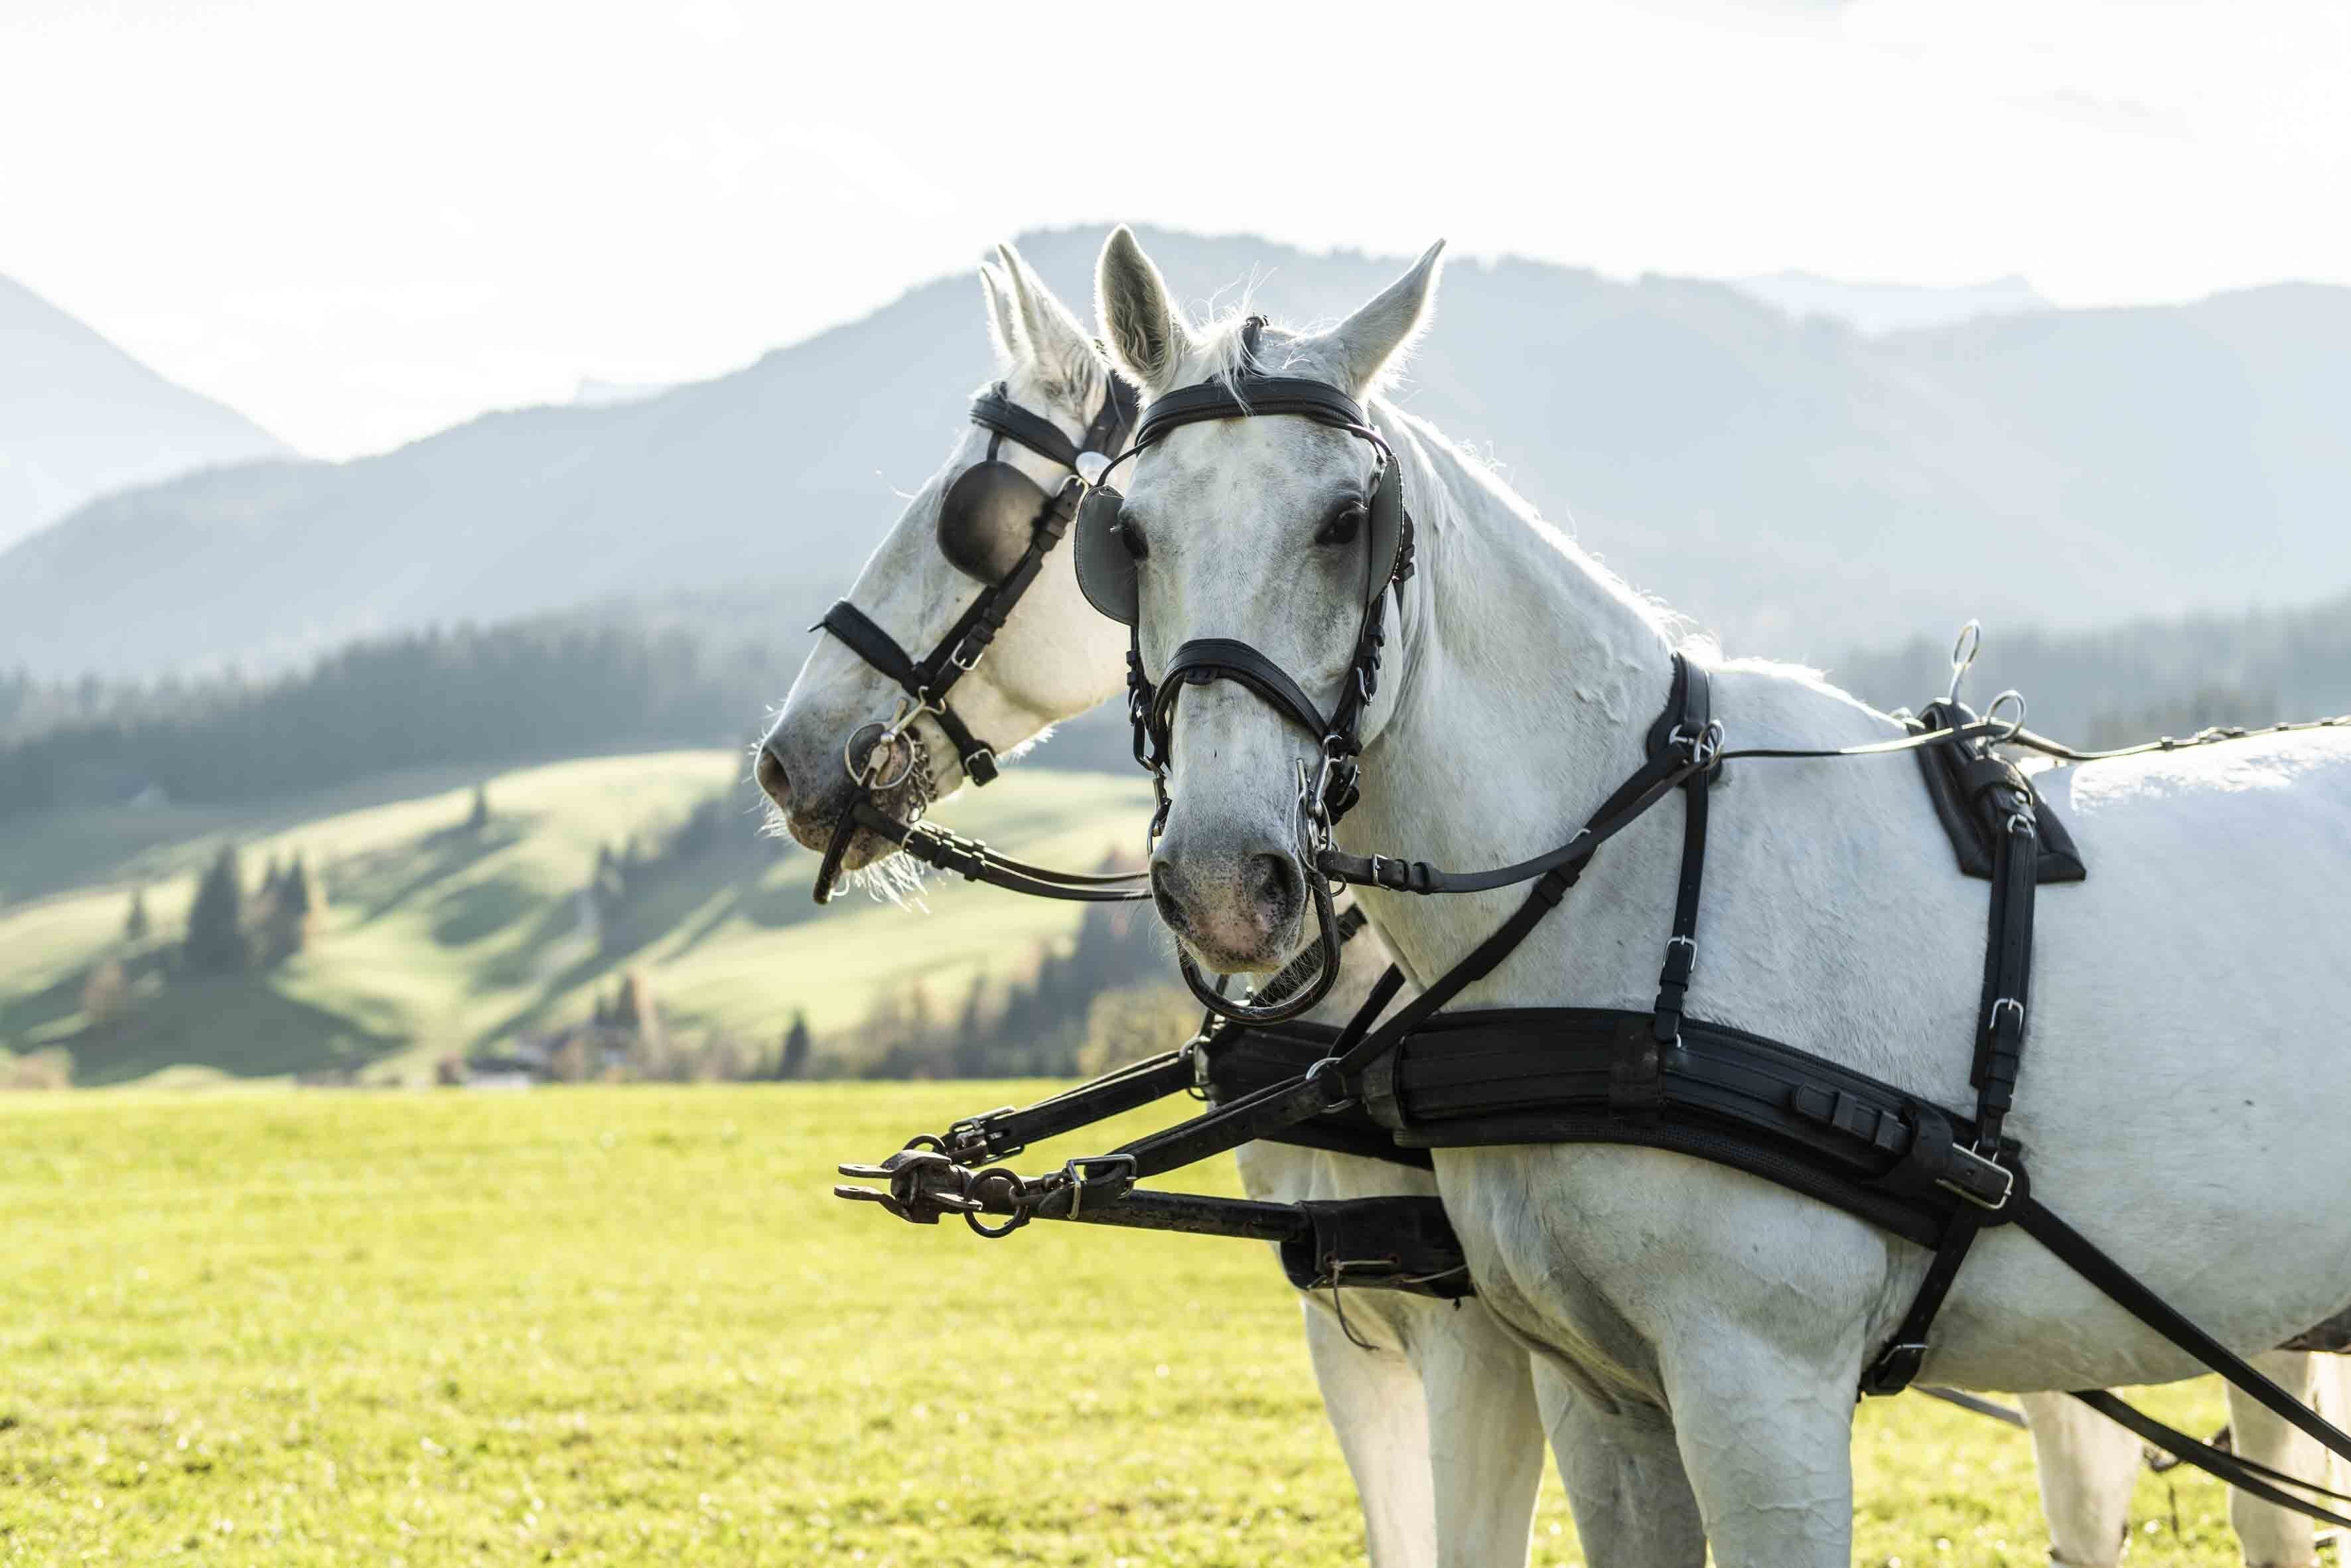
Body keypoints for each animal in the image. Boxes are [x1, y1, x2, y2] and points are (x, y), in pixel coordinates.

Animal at [1089, 224, 2351, 1567]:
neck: (1630, 902)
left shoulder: (1761, 1392)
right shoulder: (1602, 1399)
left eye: (1344, 522)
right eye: (1127, 535)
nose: (1224, 877)